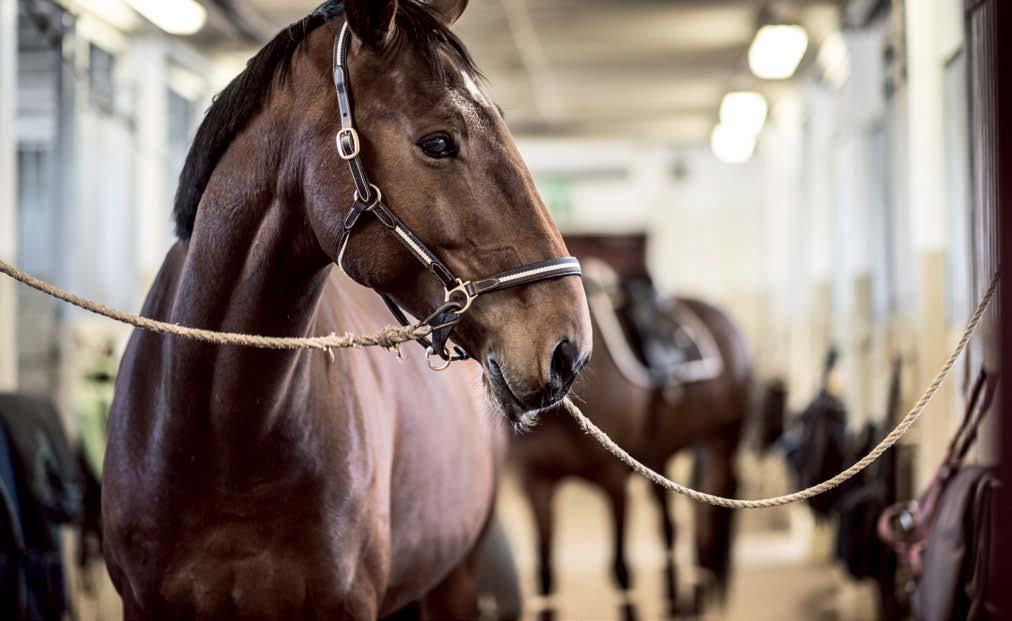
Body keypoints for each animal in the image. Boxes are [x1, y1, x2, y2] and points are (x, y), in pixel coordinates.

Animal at [514, 279, 752, 618]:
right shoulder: (536, 484)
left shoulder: (614, 483)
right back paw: (674, 604)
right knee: (670, 528)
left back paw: (694, 602)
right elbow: (545, 574)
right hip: (660, 457)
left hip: (721, 442)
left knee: (708, 522)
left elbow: (621, 567)